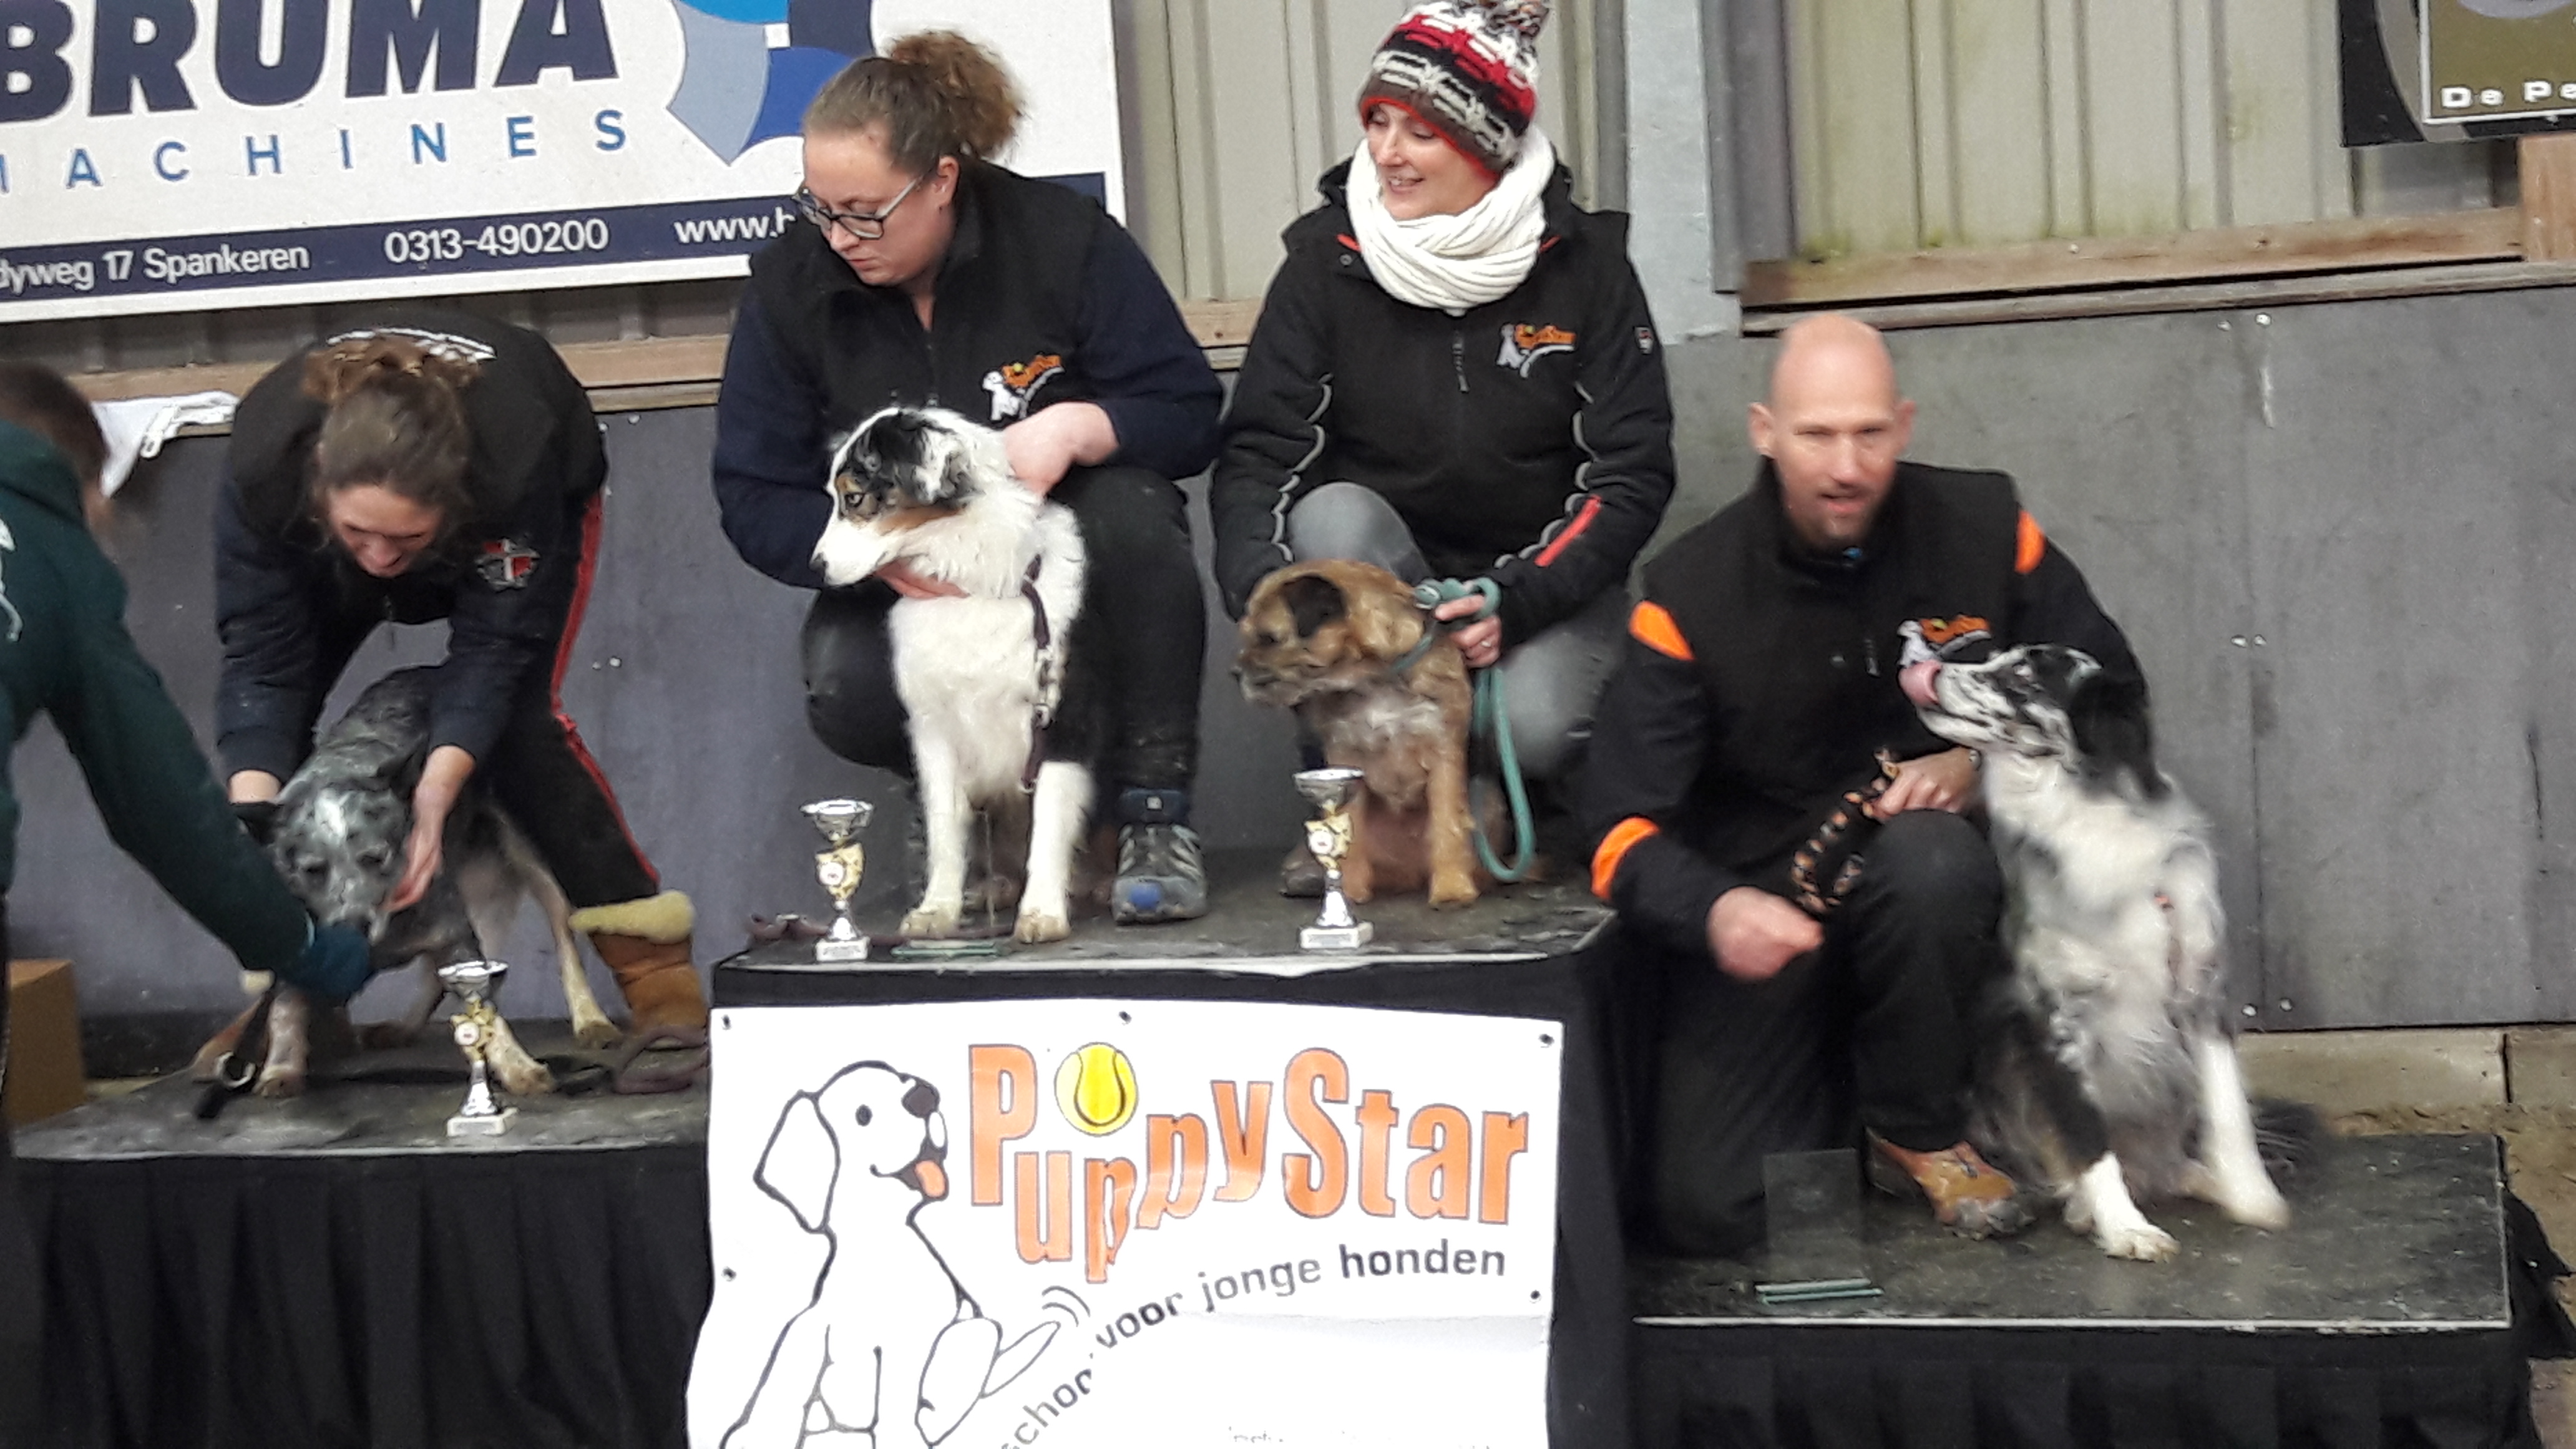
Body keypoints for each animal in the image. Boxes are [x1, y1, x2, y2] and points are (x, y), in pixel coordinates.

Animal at [190, 667, 611, 1099]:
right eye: (312, 870)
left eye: (376, 858)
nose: (353, 927)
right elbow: (285, 1006)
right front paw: (280, 1069)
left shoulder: (452, 930)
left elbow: (488, 1014)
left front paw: (519, 1068)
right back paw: (403, 1027)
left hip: (527, 851)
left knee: (563, 932)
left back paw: (590, 1019)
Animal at [724, 1062, 1063, 1449]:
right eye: (863, 1114)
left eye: (905, 1080)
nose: (924, 1096)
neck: (878, 1246)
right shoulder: (813, 1323)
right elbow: (785, 1371)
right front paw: (756, 1434)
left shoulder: (908, 1337)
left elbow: (896, 1394)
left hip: (979, 1330)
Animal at [813, 405, 1102, 944]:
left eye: (854, 497)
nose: (815, 567)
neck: (968, 581)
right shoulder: (933, 727)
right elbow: (945, 829)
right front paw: (937, 909)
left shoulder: (1060, 715)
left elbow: (1050, 822)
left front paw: (1043, 911)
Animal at [1235, 559, 1481, 908]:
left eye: (1268, 638)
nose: (1235, 672)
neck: (1375, 679)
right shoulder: (1346, 758)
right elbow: (1350, 828)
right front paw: (1348, 891)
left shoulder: (1443, 751)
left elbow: (1449, 825)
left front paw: (1452, 889)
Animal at [1902, 644, 2290, 1260]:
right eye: (1996, 658)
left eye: (2021, 675)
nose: (1931, 670)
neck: (2083, 812)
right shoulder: (2058, 1020)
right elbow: (2086, 1135)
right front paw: (2125, 1227)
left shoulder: (2201, 991)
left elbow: (2230, 1110)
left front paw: (2253, 1195)